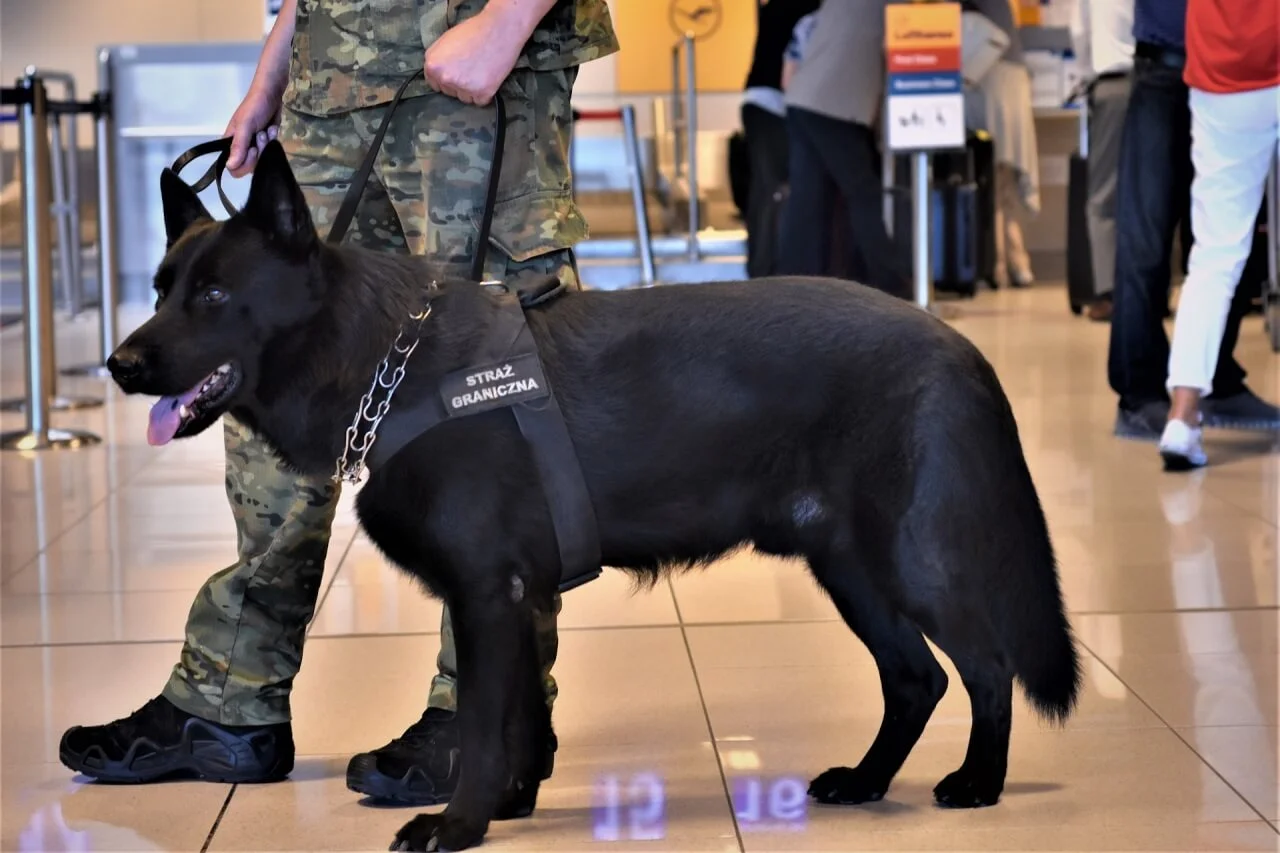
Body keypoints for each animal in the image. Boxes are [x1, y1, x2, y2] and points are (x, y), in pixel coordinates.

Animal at [107, 142, 1080, 845]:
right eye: (160, 290)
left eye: (215, 294)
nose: (120, 363)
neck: (389, 359)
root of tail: (958, 345)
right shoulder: (517, 600)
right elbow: (519, 718)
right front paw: (508, 806)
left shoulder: (490, 595)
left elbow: (485, 725)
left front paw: (458, 825)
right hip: (850, 570)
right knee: (915, 677)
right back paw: (870, 779)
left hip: (913, 561)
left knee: (984, 666)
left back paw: (980, 782)